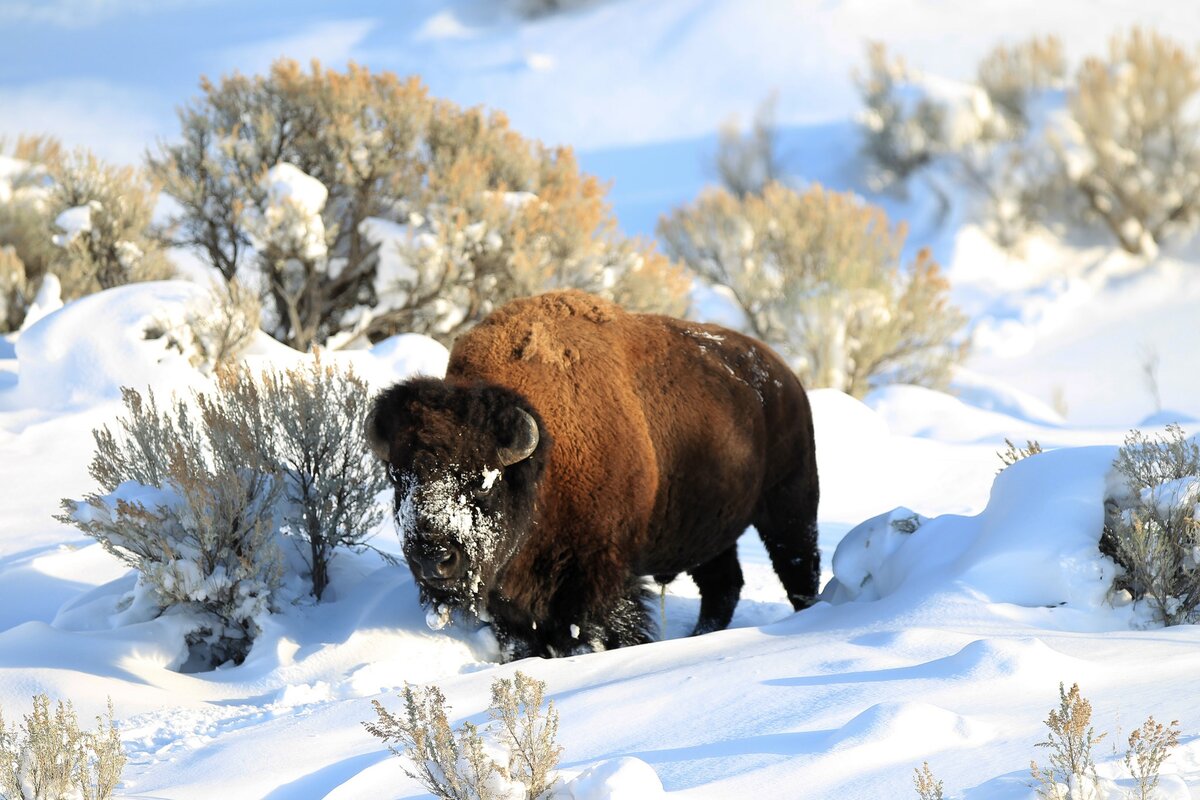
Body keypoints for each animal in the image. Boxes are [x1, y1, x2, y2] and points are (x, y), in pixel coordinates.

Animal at [362, 291, 816, 662]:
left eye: (482, 480)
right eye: (399, 478)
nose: (433, 557)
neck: (544, 461)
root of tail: (782, 376)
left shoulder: (597, 578)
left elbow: (597, 632)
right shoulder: (512, 603)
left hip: (789, 502)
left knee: (797, 568)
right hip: (709, 532)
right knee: (723, 586)